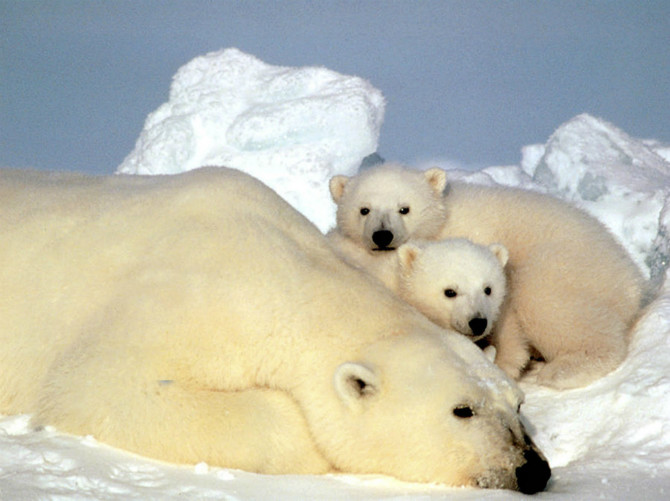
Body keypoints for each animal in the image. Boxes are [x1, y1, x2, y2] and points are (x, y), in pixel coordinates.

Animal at [328, 162, 648, 388]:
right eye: (364, 209)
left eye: (404, 208)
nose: (382, 235)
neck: (443, 223)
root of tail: (632, 279)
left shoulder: (478, 238)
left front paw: (504, 362)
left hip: (568, 265)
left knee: (550, 303)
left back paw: (564, 370)